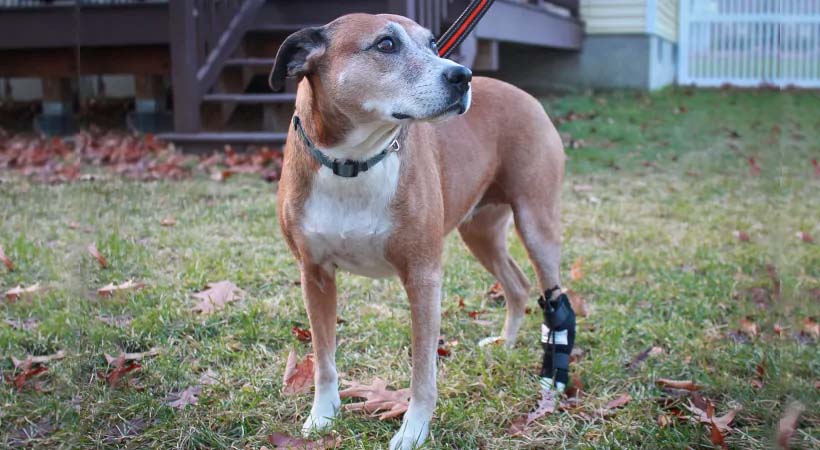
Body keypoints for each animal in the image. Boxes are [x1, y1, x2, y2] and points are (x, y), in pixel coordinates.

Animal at [272, 12, 568, 448]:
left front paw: (413, 431)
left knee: (555, 299)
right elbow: (324, 359)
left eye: (432, 45)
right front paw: (322, 417)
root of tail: (524, 93)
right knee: (517, 284)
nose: (462, 76)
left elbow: (423, 372)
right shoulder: (315, 275)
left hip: (535, 222)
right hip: (480, 232)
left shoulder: (423, 277)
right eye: (386, 45)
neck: (354, 162)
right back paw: (505, 343)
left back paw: (554, 377)